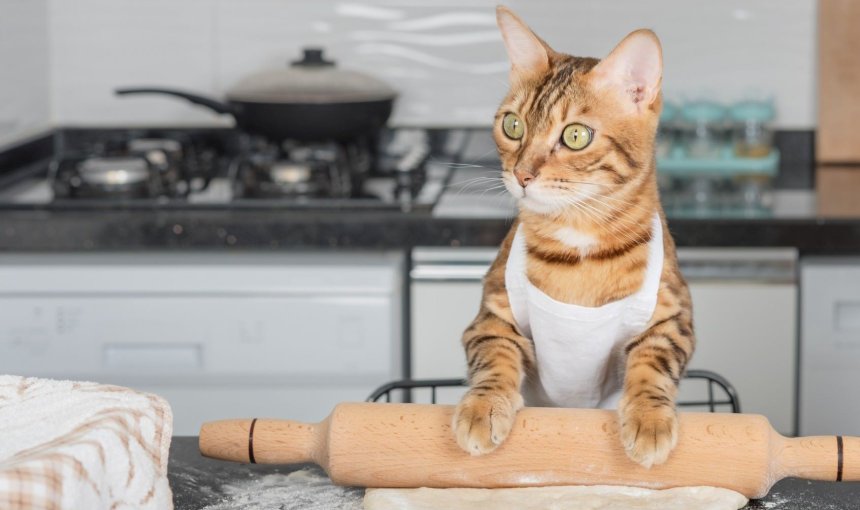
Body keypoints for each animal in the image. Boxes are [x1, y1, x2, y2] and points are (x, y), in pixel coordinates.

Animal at [454, 6, 696, 470]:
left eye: (576, 135)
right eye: (512, 125)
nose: (521, 174)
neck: (579, 241)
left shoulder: (673, 315)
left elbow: (653, 360)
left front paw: (649, 418)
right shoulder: (492, 313)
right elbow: (494, 355)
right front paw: (483, 406)